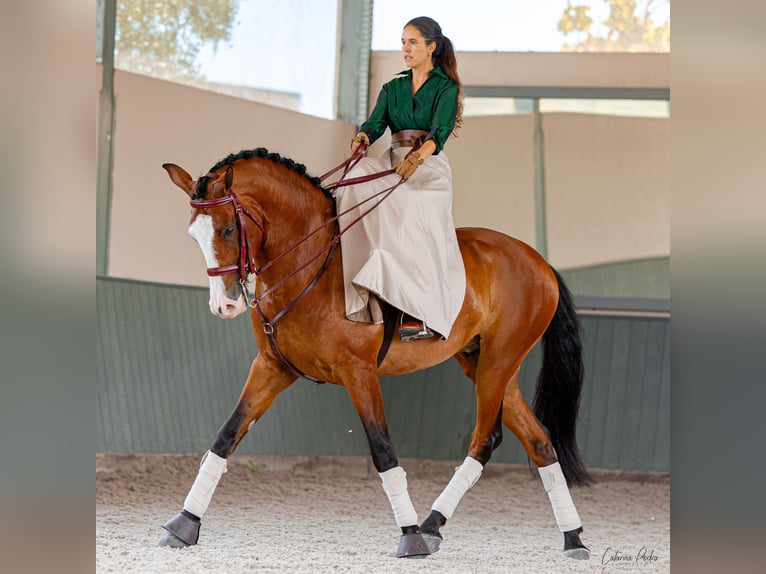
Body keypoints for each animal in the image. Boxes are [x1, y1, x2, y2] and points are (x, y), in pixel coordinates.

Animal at [160, 147, 592, 564]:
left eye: (228, 229)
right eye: (194, 235)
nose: (225, 306)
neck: (311, 266)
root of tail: (537, 260)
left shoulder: (359, 373)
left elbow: (384, 451)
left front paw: (410, 538)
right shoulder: (272, 367)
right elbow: (225, 437)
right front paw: (184, 525)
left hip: (498, 363)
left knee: (485, 439)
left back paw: (430, 526)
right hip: (484, 363)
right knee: (539, 440)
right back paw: (570, 538)